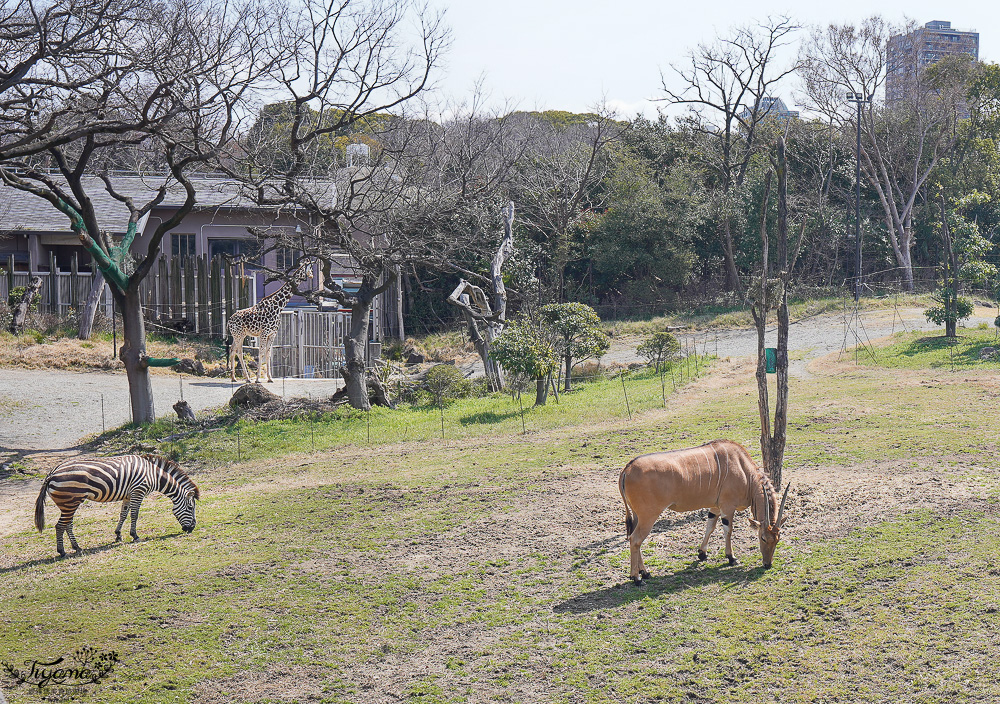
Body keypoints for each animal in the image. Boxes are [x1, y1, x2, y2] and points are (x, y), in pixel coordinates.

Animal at [34, 456, 201, 556]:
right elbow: (135, 514)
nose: (192, 528)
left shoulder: (128, 495)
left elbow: (124, 514)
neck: (153, 474)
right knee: (60, 525)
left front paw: (118, 534)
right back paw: (62, 551)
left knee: (68, 524)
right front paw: (135, 535)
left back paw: (77, 547)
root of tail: (51, 473)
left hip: (71, 503)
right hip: (70, 502)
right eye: (190, 508)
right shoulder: (138, 491)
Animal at [616, 440, 788, 584]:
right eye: (763, 538)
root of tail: (627, 469)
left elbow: (710, 527)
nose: (767, 564)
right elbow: (728, 530)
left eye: (778, 539)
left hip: (638, 516)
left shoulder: (715, 507)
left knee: (634, 539)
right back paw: (637, 578)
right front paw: (731, 557)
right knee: (635, 539)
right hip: (648, 516)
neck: (744, 470)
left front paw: (702, 553)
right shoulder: (727, 507)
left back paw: (644, 573)